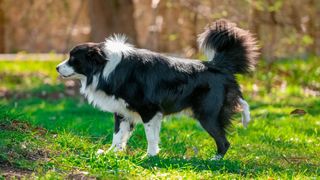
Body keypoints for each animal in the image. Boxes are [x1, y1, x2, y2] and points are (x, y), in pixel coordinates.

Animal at [56, 19, 258, 160]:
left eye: (73, 59)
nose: (57, 68)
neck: (105, 67)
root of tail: (217, 64)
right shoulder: (123, 112)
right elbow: (118, 135)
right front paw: (111, 153)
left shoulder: (149, 111)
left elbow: (150, 136)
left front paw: (149, 156)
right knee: (239, 104)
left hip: (207, 114)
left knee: (224, 141)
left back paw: (215, 160)